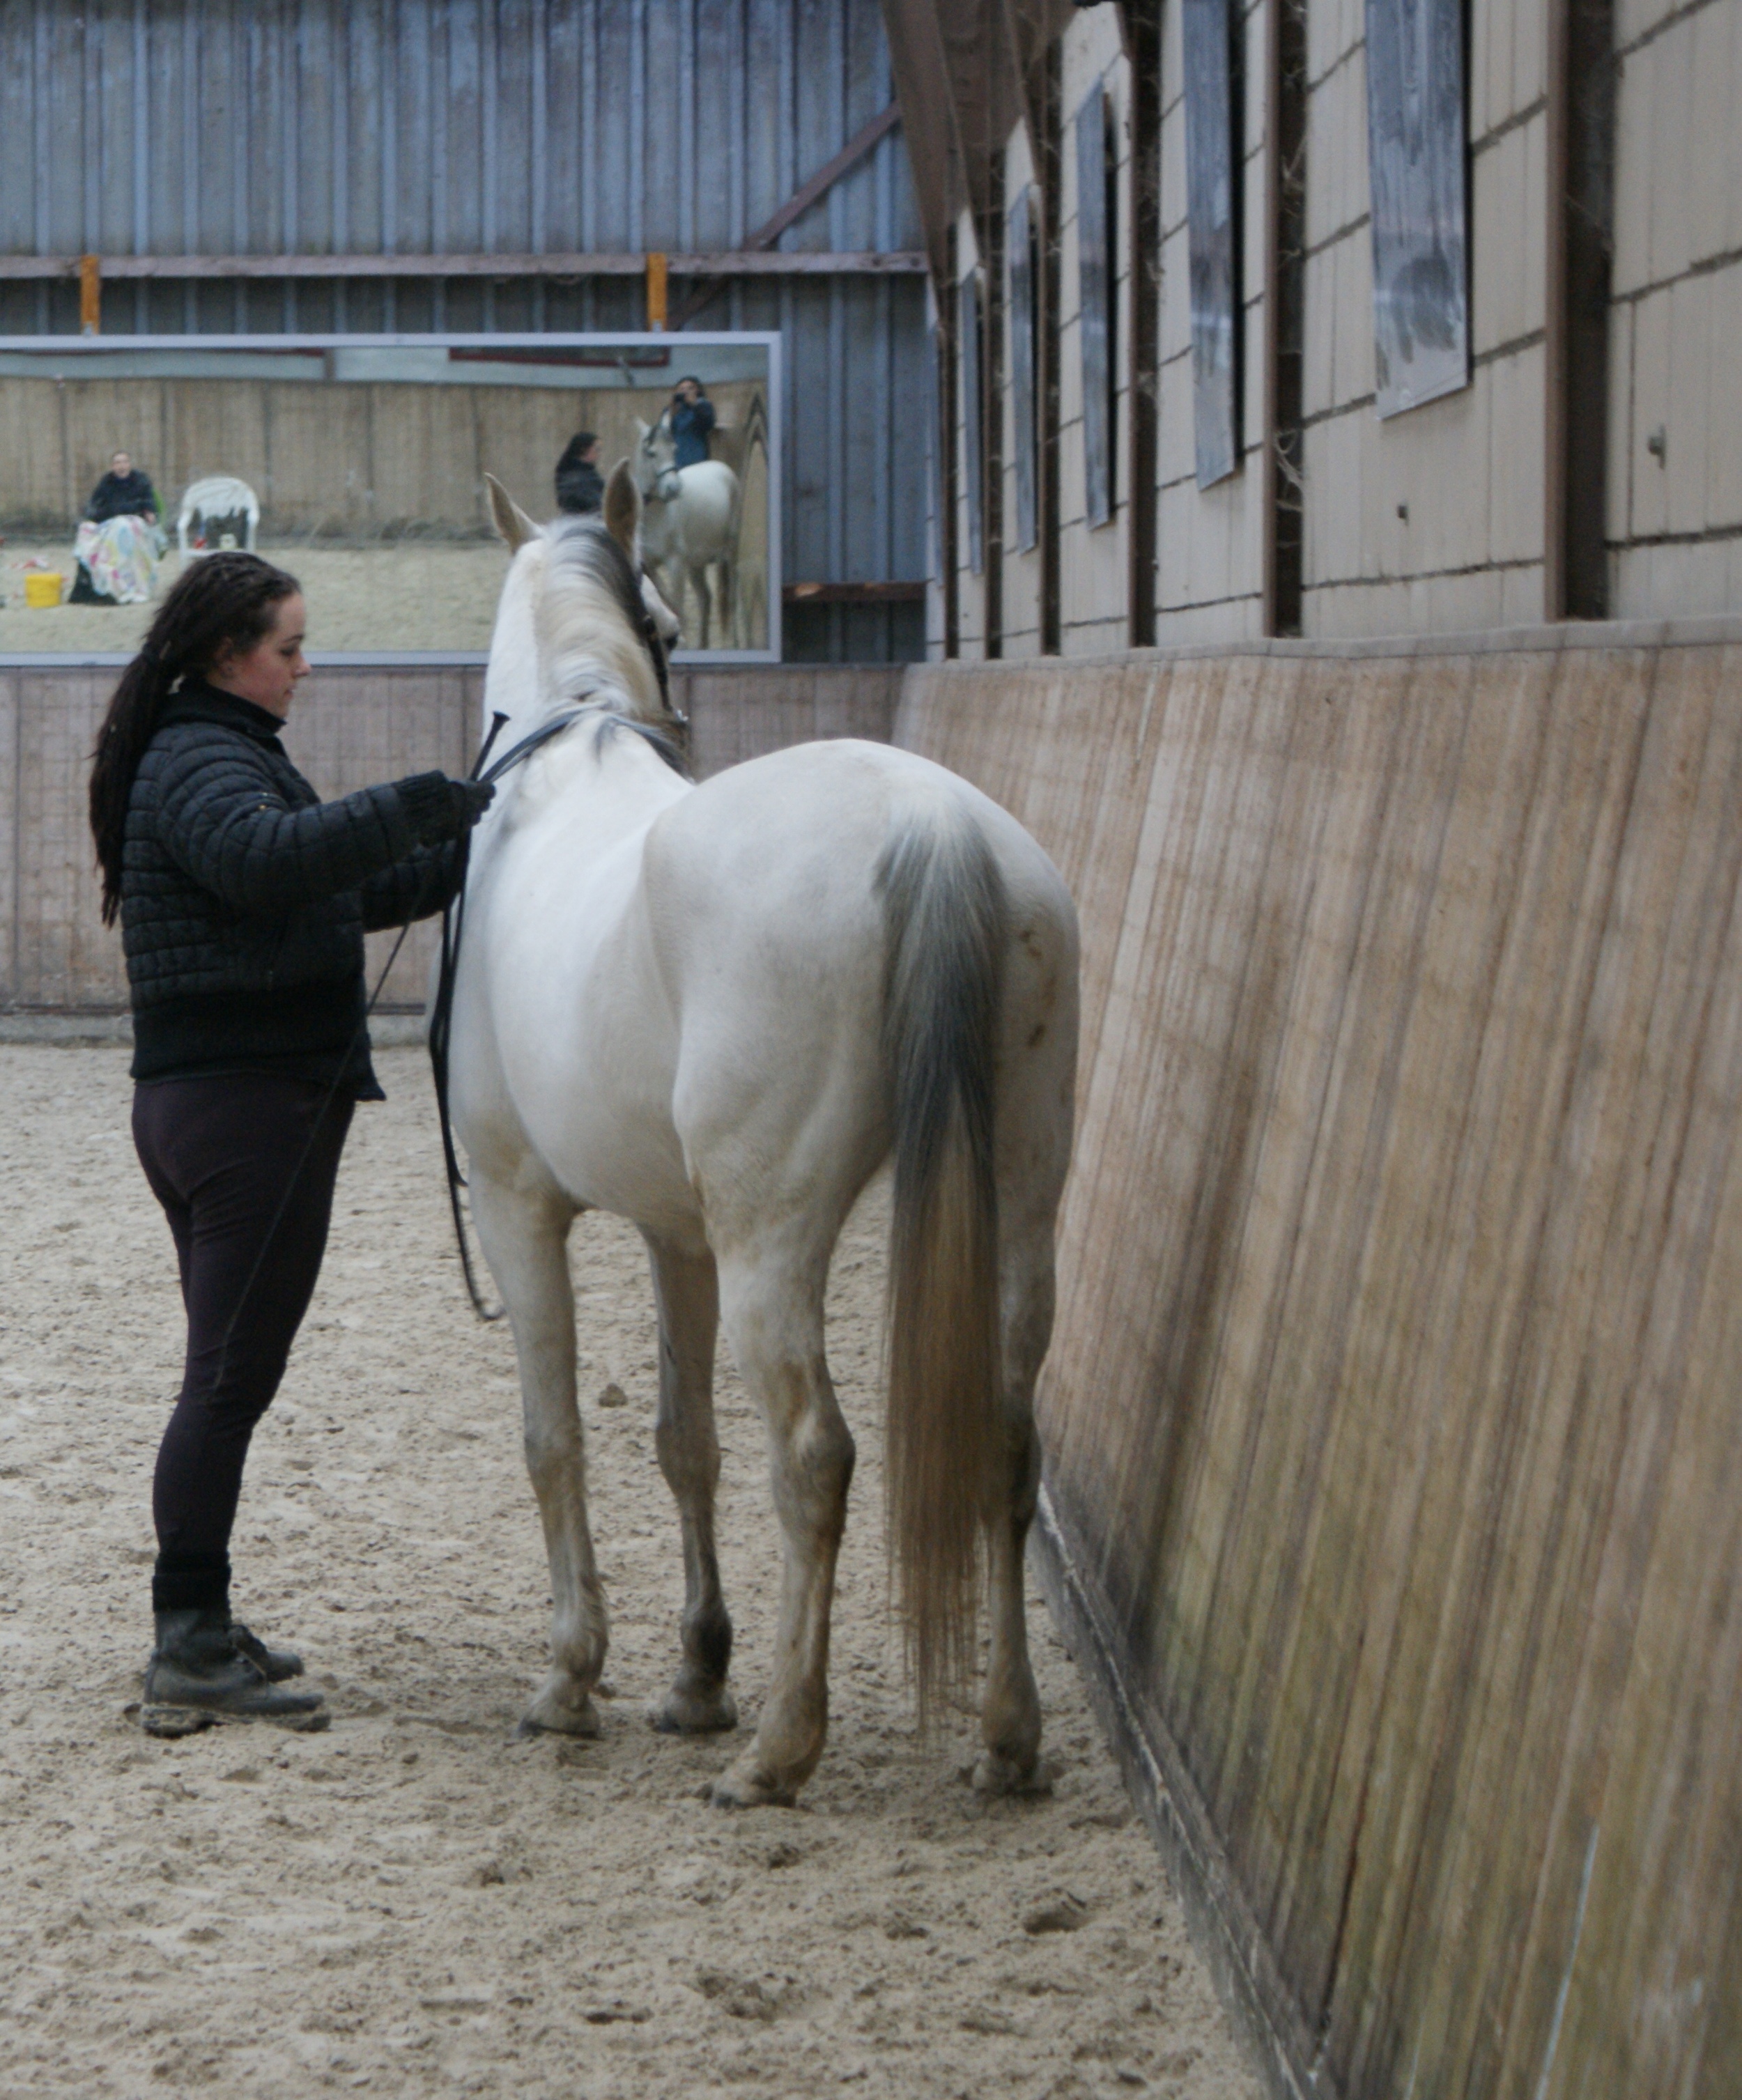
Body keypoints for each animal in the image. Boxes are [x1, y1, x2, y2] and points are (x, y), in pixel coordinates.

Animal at [447, 472, 1076, 1806]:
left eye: (674, 626)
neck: (562, 771)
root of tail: (928, 818)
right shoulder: (676, 1233)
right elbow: (683, 1442)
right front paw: (696, 1673)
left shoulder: (520, 1205)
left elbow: (553, 1437)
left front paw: (572, 1679)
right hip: (1020, 1199)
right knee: (1006, 1438)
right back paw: (1006, 1737)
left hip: (772, 1243)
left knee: (815, 1454)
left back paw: (784, 1745)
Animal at [630, 415, 739, 647]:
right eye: (651, 452)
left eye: (674, 449)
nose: (674, 489)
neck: (657, 515)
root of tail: (722, 468)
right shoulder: (651, 565)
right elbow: (667, 601)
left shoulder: (676, 564)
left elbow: (678, 605)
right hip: (696, 563)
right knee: (705, 597)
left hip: (730, 552)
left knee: (731, 596)